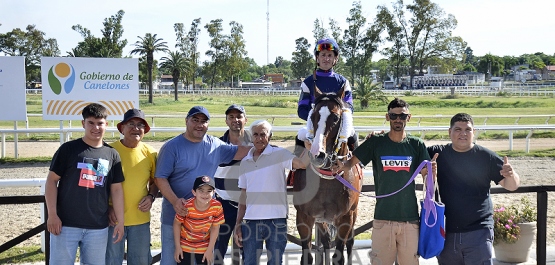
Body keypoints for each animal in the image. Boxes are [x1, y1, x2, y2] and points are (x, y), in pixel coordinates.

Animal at [294, 85, 362, 262]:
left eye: (336, 117)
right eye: (313, 115)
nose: (318, 154)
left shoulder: (345, 219)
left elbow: (339, 255)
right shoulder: (304, 217)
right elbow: (307, 256)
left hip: (353, 213)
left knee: (350, 243)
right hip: (321, 220)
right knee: (325, 242)